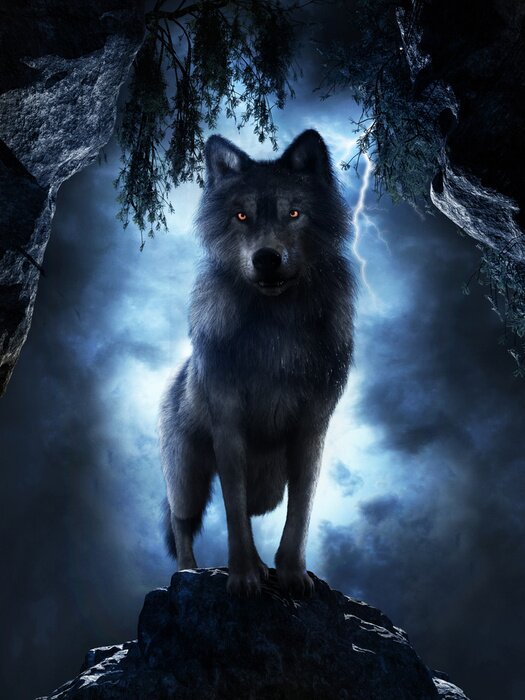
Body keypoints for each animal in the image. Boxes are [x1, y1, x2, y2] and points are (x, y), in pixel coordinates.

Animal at [159, 129, 355, 597]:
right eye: (242, 216)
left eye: (294, 213)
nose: (266, 258)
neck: (276, 330)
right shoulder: (229, 427)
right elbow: (232, 512)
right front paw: (244, 577)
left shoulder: (311, 429)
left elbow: (300, 512)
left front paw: (292, 575)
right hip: (188, 477)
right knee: (181, 522)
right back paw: (187, 573)